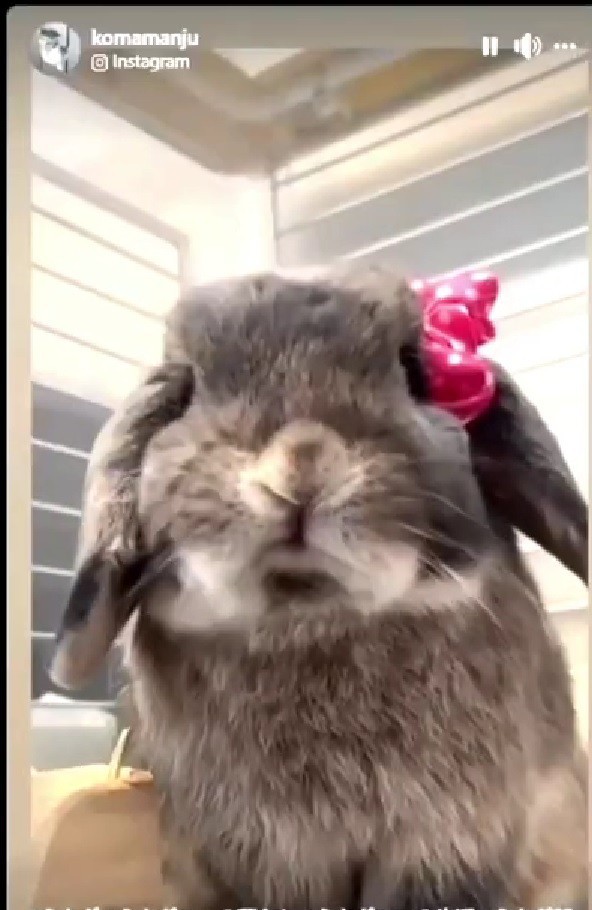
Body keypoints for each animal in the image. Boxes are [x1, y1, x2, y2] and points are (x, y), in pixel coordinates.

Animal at [50, 268, 589, 910]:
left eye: (413, 371)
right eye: (185, 391)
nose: (299, 464)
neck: (307, 617)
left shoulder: (449, 843)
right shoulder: (269, 857)